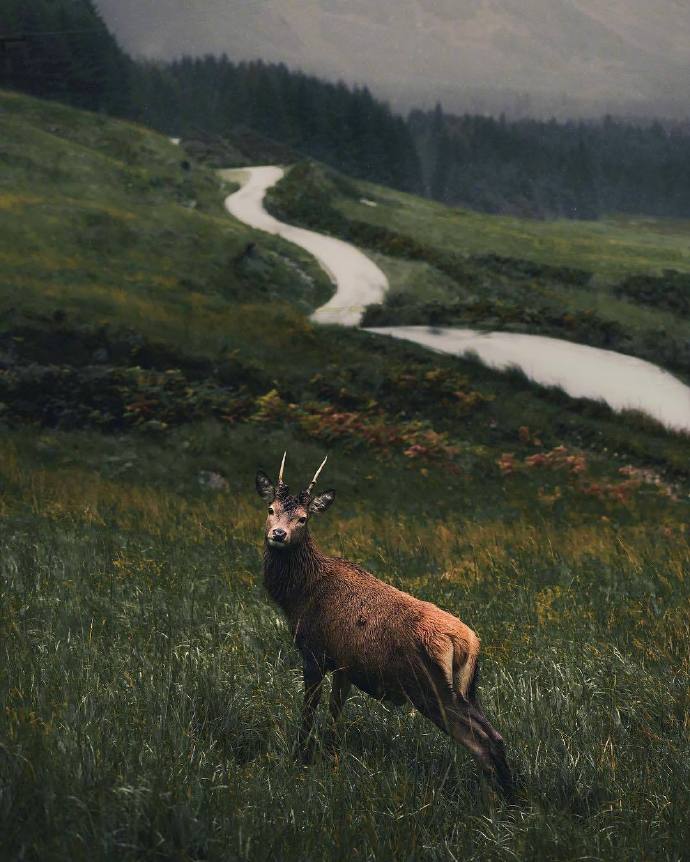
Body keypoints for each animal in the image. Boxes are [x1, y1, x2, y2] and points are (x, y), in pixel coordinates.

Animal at [255, 452, 514, 797]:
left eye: (303, 519)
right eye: (270, 509)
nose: (278, 535)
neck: (298, 595)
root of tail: (469, 644)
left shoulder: (314, 651)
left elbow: (309, 712)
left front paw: (301, 759)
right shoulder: (344, 664)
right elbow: (335, 714)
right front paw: (331, 758)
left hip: (430, 688)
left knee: (482, 744)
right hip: (468, 690)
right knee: (496, 736)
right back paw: (513, 796)